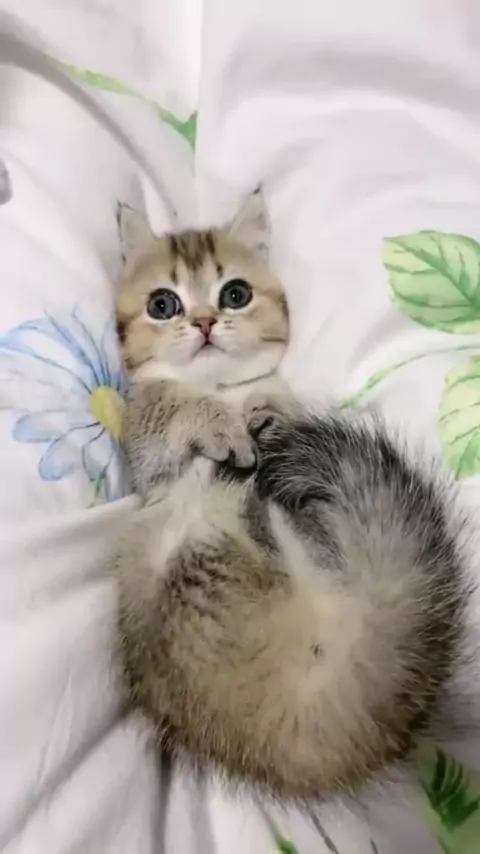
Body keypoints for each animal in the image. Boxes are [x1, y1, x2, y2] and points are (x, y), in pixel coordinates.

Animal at [113, 191, 468, 804]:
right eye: (163, 304)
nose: (204, 323)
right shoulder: (149, 464)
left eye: (235, 294)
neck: (222, 389)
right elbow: (170, 410)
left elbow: (276, 407)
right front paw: (215, 422)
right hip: (197, 562)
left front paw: (263, 414)